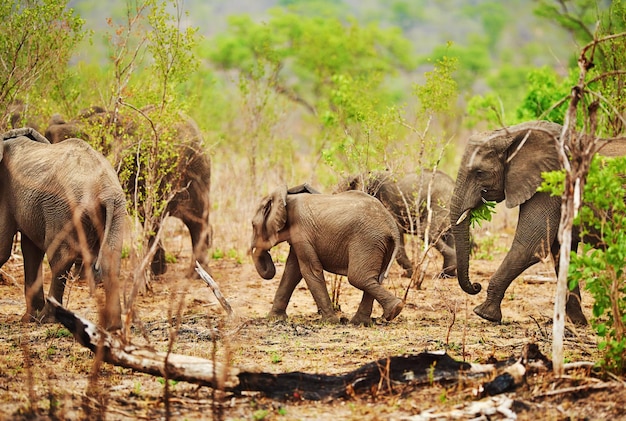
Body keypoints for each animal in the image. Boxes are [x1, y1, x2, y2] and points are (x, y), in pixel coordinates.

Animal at [0, 126, 125, 330]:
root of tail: (104, 189)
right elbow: (31, 251)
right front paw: (27, 319)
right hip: (117, 211)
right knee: (111, 258)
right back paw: (113, 326)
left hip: (63, 210)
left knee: (60, 259)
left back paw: (46, 319)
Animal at [250, 184, 404, 324]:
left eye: (252, 225)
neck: (285, 198)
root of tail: (391, 225)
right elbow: (292, 272)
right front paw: (274, 318)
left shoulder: (301, 231)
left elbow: (309, 270)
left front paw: (329, 322)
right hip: (379, 243)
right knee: (374, 278)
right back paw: (361, 321)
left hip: (367, 240)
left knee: (358, 278)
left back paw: (394, 310)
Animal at [448, 120, 624, 324]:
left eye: (479, 172)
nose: (476, 286)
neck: (513, 134)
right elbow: (561, 252)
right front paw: (578, 323)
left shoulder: (549, 184)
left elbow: (530, 247)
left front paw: (484, 314)